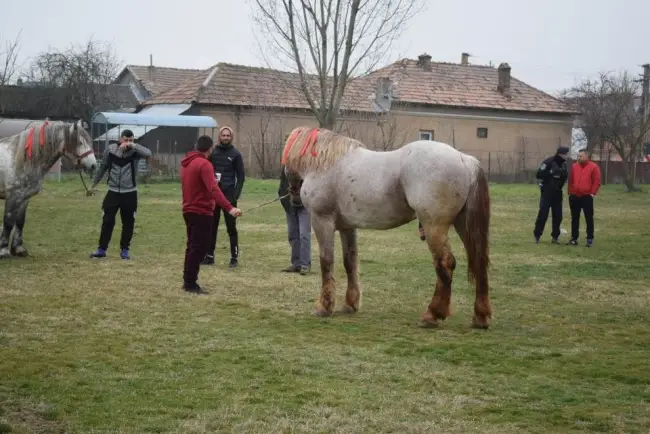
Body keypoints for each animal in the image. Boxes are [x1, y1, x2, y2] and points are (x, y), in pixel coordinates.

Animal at [0, 119, 96, 258]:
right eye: (79, 142)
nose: (93, 165)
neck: (22, 159)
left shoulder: (24, 197)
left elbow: (20, 221)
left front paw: (18, 249)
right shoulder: (14, 196)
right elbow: (8, 221)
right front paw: (3, 251)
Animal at [280, 125, 492, 328]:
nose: (293, 197)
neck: (326, 164)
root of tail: (465, 160)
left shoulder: (322, 221)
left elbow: (326, 261)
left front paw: (324, 307)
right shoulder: (347, 227)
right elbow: (350, 262)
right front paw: (350, 304)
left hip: (435, 227)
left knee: (445, 264)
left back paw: (432, 315)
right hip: (463, 226)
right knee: (478, 261)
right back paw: (480, 317)